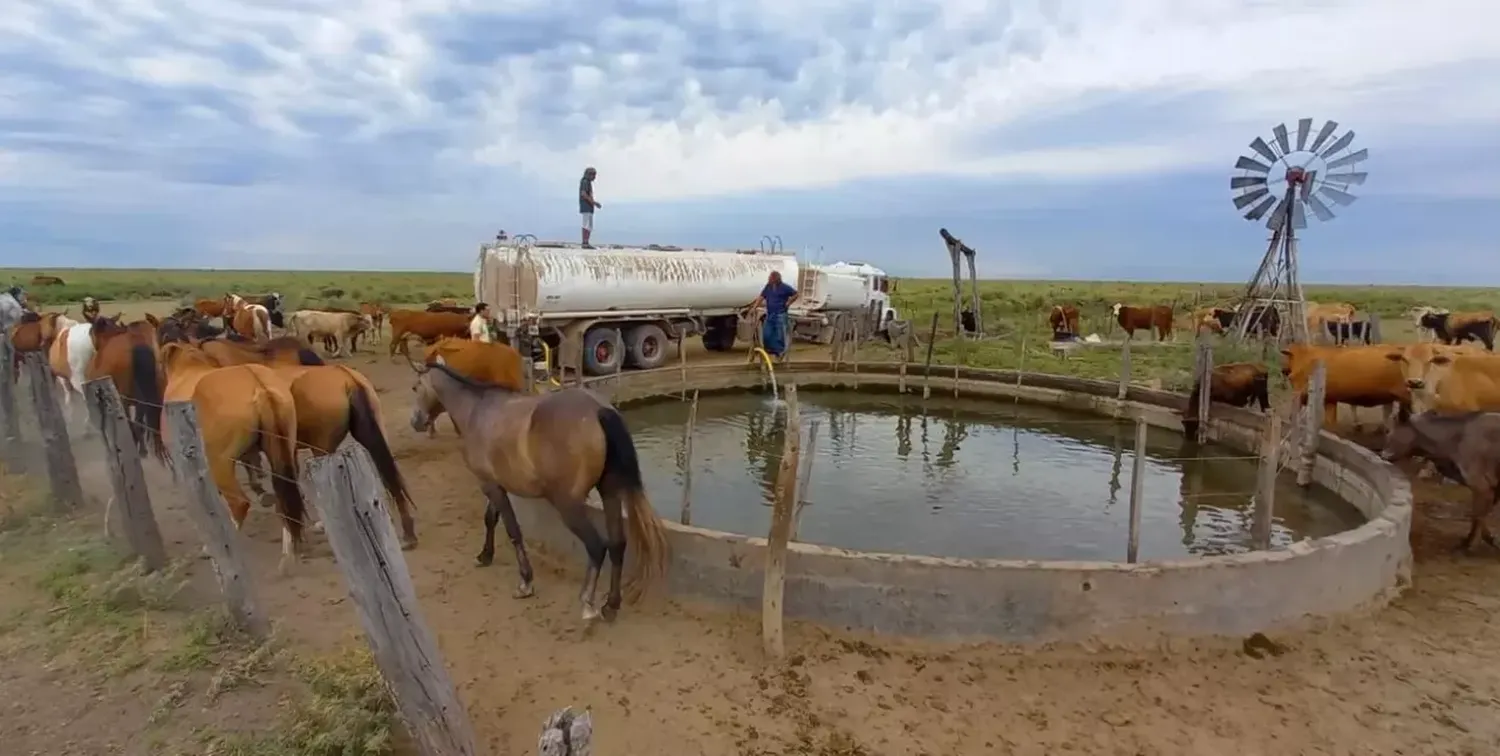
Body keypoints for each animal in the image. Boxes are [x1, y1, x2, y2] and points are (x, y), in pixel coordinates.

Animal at [159, 342, 306, 573]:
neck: (186, 370)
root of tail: (259, 386)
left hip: (219, 463)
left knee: (239, 504)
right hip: (283, 455)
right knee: (284, 499)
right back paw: (288, 553)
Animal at [411, 363, 669, 624]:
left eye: (415, 386)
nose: (416, 421)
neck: (478, 411)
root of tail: (599, 410)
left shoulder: (489, 485)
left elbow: (513, 531)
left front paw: (525, 581)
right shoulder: (496, 485)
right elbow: (490, 520)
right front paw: (485, 555)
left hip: (568, 505)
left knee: (597, 546)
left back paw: (588, 603)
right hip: (610, 494)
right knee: (617, 544)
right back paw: (611, 605)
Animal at [1380, 411, 1500, 552]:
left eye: (1388, 430)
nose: (1382, 455)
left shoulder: (1481, 486)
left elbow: (1478, 515)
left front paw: (1471, 544)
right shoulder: (1491, 488)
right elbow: (1479, 515)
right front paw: (1482, 539)